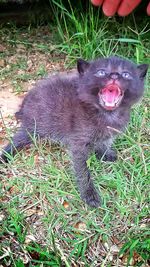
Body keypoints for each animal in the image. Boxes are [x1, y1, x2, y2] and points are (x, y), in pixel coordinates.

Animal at [0, 56, 149, 207]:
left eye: (126, 74)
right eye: (101, 72)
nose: (114, 76)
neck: (106, 114)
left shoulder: (108, 134)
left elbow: (104, 142)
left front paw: (105, 153)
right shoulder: (79, 143)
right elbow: (82, 170)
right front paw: (89, 194)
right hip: (35, 126)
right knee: (17, 139)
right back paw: (5, 156)